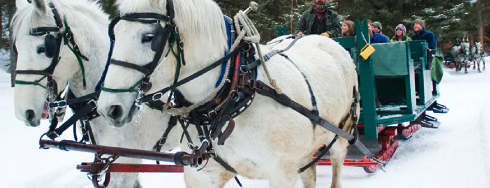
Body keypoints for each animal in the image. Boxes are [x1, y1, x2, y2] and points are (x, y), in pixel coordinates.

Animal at [97, 0, 358, 187]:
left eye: (148, 37)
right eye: (114, 35)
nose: (109, 108)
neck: (235, 95)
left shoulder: (282, 173)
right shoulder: (203, 175)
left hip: (340, 133)